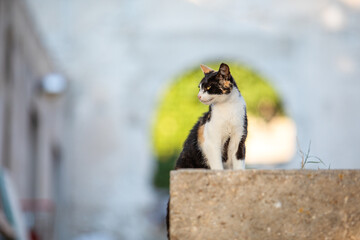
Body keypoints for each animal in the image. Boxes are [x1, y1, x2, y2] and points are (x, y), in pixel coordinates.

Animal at [167, 62, 248, 239]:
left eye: (209, 87)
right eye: (199, 88)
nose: (198, 96)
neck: (227, 110)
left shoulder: (239, 140)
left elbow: (239, 161)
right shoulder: (211, 142)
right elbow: (217, 163)